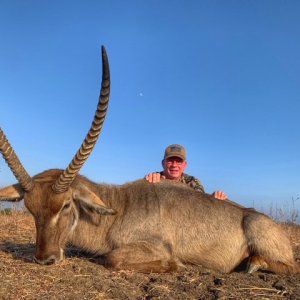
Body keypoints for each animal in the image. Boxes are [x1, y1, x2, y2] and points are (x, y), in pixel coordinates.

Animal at [0, 47, 298, 274]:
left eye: (64, 205)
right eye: (30, 209)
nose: (45, 259)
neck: (117, 209)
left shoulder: (151, 246)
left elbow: (112, 258)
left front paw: (176, 264)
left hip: (257, 230)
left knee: (288, 267)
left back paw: (253, 263)